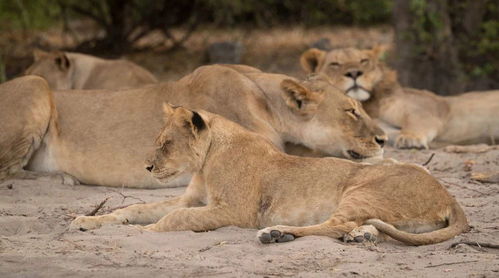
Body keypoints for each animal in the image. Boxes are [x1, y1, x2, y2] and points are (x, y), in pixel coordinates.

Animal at [67, 104, 468, 245]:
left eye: (166, 143)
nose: (147, 167)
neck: (207, 161)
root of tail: (450, 196)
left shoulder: (235, 211)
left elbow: (175, 219)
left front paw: (142, 232)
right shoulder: (191, 197)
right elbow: (134, 207)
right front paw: (86, 221)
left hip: (363, 187)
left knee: (332, 225)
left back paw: (276, 233)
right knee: (365, 226)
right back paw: (361, 236)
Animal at [300, 46, 499, 149]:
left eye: (364, 61)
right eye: (335, 64)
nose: (355, 73)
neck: (371, 104)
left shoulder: (430, 108)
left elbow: (417, 122)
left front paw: (411, 138)